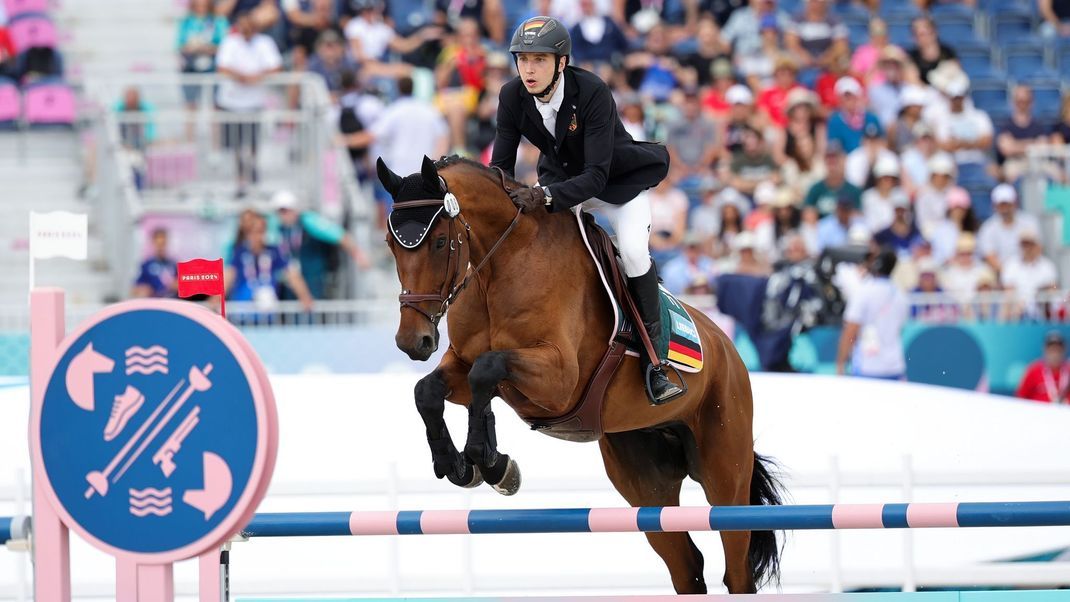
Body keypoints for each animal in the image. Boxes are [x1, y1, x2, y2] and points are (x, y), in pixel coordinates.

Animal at [380, 153, 783, 594]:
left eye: (439, 242)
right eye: (390, 245)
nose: (412, 341)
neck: (499, 266)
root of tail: (726, 346)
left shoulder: (558, 380)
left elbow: (486, 372)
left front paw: (492, 464)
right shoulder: (465, 364)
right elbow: (429, 390)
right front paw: (459, 464)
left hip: (724, 470)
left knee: (737, 567)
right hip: (644, 480)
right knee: (686, 565)